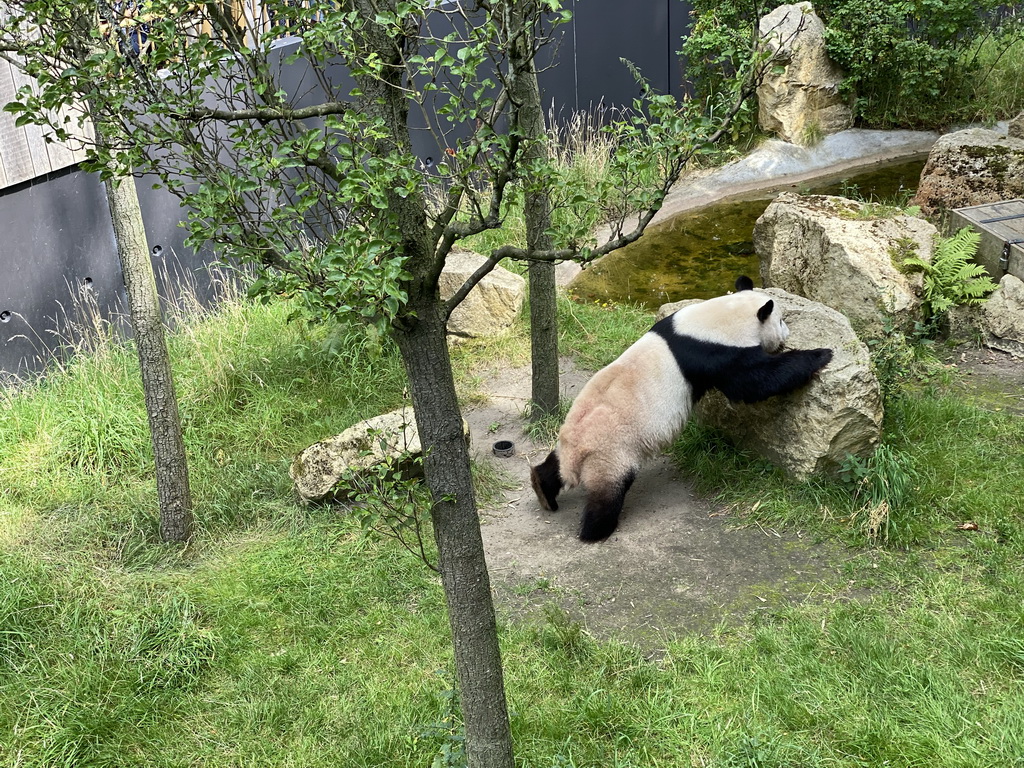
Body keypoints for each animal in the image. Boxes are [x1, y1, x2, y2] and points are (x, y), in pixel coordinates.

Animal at [528, 274, 831, 540]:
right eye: (780, 320)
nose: (786, 334)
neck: (719, 317)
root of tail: (576, 454)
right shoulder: (718, 354)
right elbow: (753, 381)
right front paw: (820, 355)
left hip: (570, 442)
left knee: (553, 467)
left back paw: (543, 490)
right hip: (611, 452)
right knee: (607, 493)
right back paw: (596, 532)